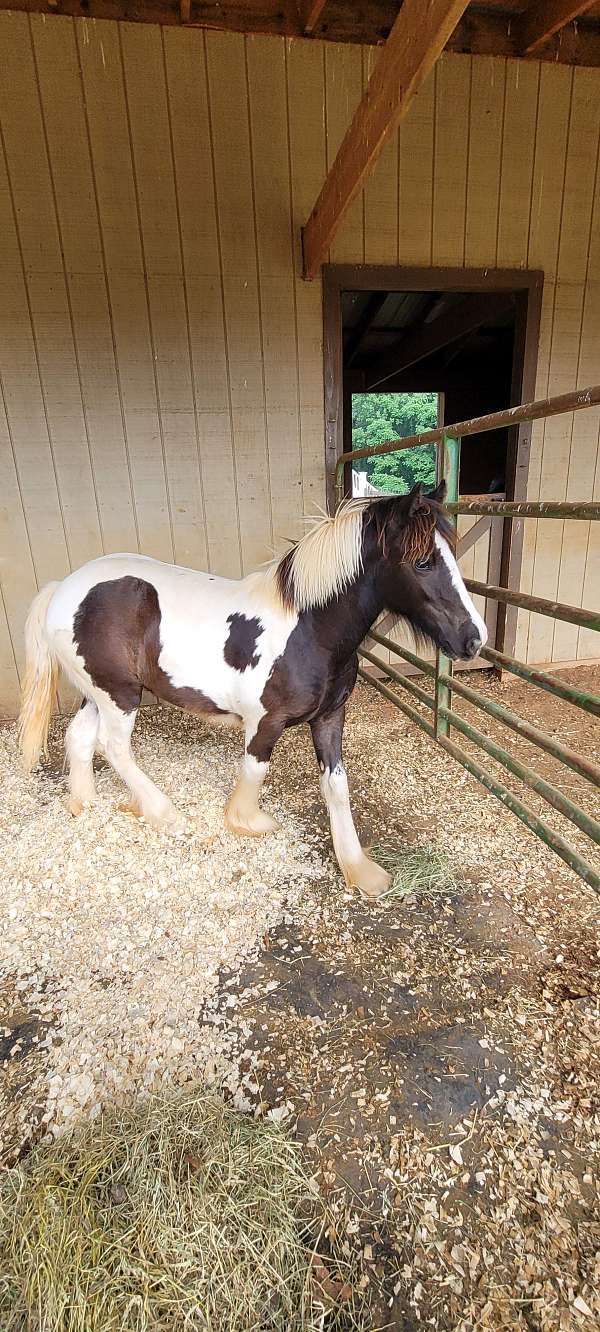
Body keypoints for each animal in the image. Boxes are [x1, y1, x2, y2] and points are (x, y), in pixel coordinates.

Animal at [18, 484, 488, 900]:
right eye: (423, 562)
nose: (474, 639)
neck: (309, 629)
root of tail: (62, 588)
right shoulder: (265, 722)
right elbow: (254, 772)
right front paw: (246, 822)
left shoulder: (329, 718)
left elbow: (336, 786)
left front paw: (361, 870)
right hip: (119, 695)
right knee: (113, 746)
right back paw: (164, 814)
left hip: (99, 693)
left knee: (79, 739)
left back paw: (86, 804)